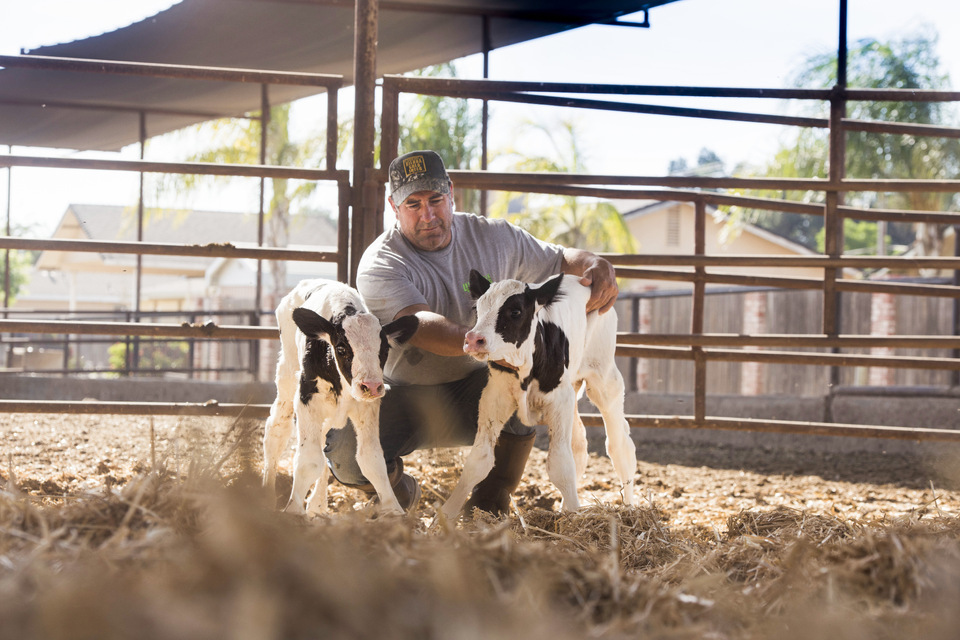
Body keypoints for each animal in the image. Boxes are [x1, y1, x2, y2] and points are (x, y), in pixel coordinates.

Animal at [262, 280, 416, 516]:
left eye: (384, 350)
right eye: (342, 348)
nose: (371, 386)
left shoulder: (367, 407)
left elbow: (371, 459)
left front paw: (393, 509)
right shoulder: (307, 400)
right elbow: (309, 460)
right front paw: (294, 509)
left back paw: (317, 505)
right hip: (287, 375)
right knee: (276, 430)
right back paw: (268, 497)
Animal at [440, 272, 636, 520]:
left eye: (515, 311)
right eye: (477, 308)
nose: (474, 339)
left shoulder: (558, 402)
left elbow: (560, 465)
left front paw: (574, 517)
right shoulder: (494, 398)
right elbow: (479, 461)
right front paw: (443, 517)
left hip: (604, 379)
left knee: (619, 445)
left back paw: (629, 508)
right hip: (572, 391)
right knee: (579, 445)